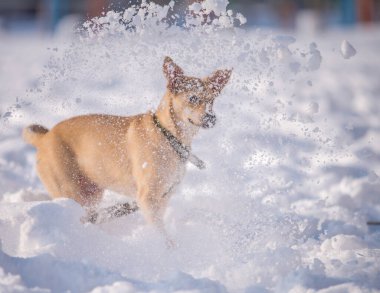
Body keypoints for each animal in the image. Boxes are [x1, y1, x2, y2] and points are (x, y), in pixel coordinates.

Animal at [24, 57, 232, 229]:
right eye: (193, 98)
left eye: (212, 100)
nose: (212, 118)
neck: (169, 136)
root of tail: (44, 137)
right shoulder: (147, 199)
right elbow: (163, 235)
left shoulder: (163, 198)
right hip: (74, 194)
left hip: (92, 193)